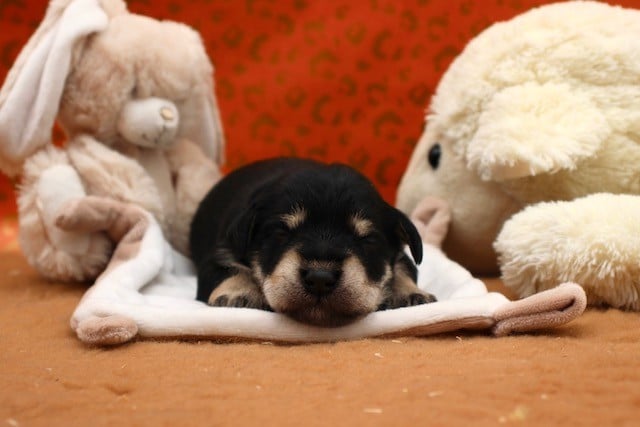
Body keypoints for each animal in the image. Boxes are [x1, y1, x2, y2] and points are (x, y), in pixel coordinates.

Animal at [189, 158, 436, 326]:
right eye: (281, 232)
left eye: (367, 239)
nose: (320, 278)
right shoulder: (221, 252)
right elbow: (230, 269)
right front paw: (240, 293)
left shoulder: (402, 255)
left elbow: (403, 268)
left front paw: (409, 294)